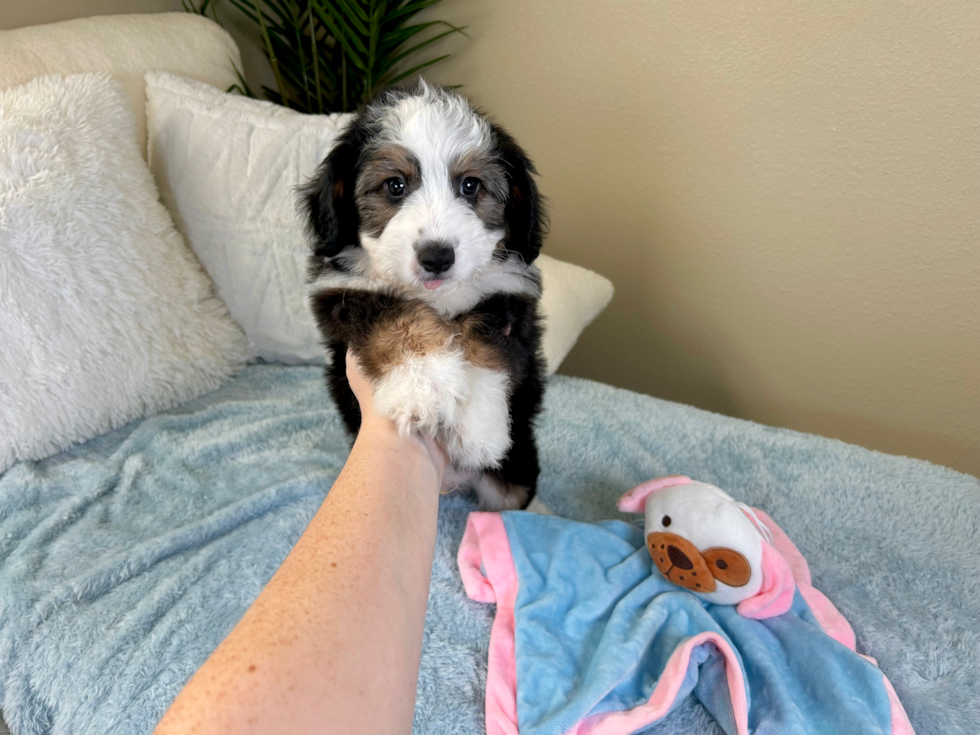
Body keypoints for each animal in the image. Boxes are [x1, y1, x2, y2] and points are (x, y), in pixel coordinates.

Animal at [302, 79, 548, 506]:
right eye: (395, 186)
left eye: (470, 185)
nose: (437, 257)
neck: (438, 296)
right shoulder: (343, 292)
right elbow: (396, 319)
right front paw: (423, 385)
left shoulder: (510, 296)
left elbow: (484, 342)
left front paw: (479, 428)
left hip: (516, 465)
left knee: (518, 493)